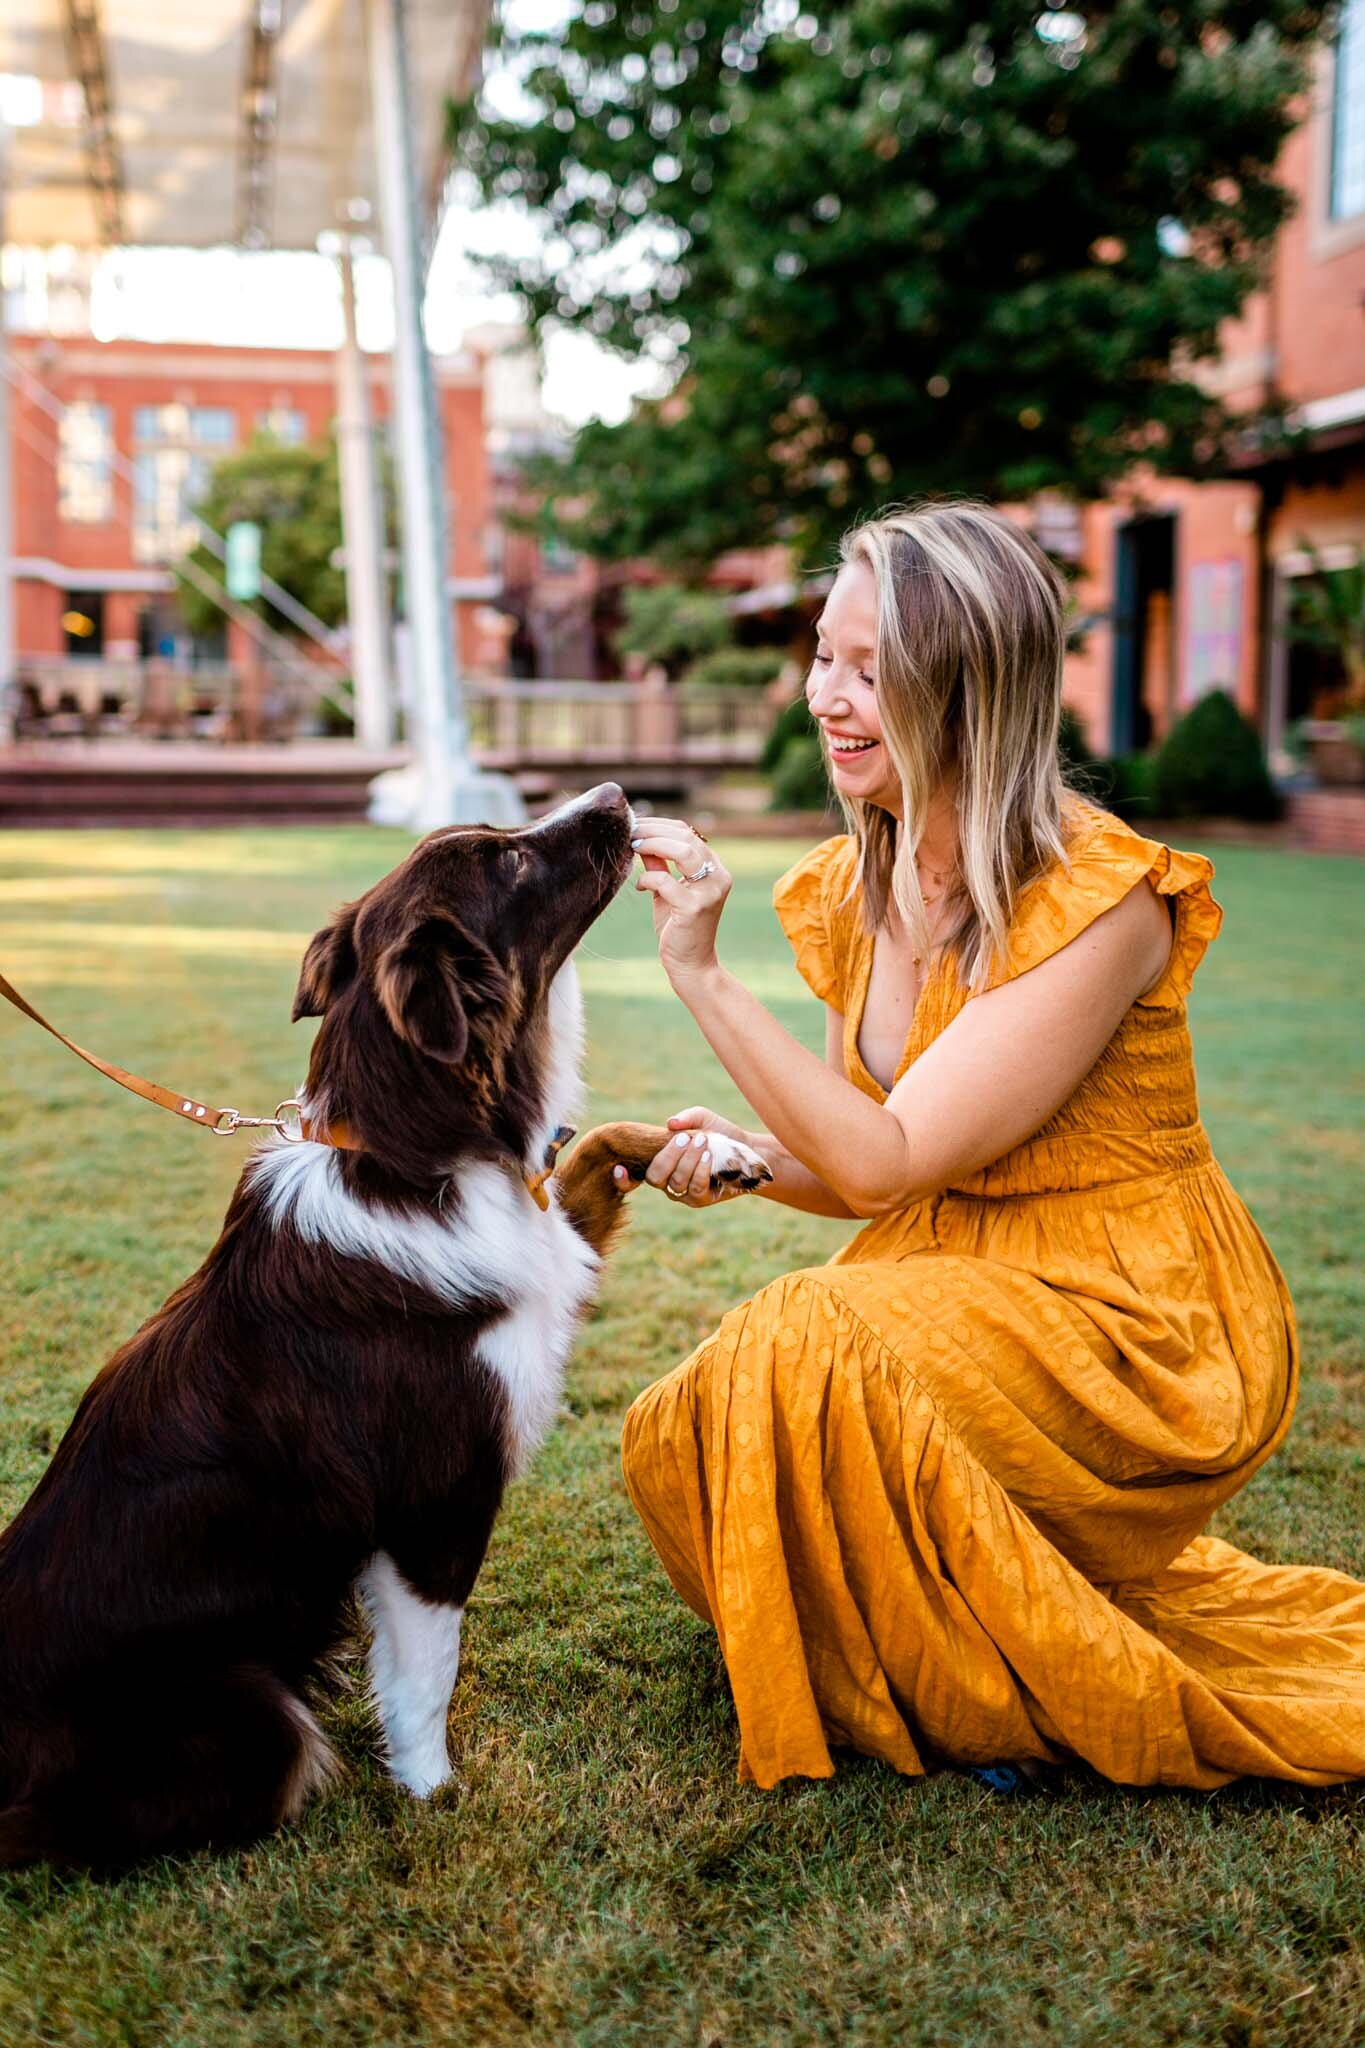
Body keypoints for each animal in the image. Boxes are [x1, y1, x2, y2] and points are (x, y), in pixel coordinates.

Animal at [0, 786, 769, 1875]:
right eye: (508, 860)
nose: (617, 797)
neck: (415, 1155)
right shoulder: (435, 1498)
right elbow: (425, 1668)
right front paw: (434, 1792)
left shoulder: (544, 1232)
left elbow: (593, 1151)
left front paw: (716, 1148)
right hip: (252, 1716)